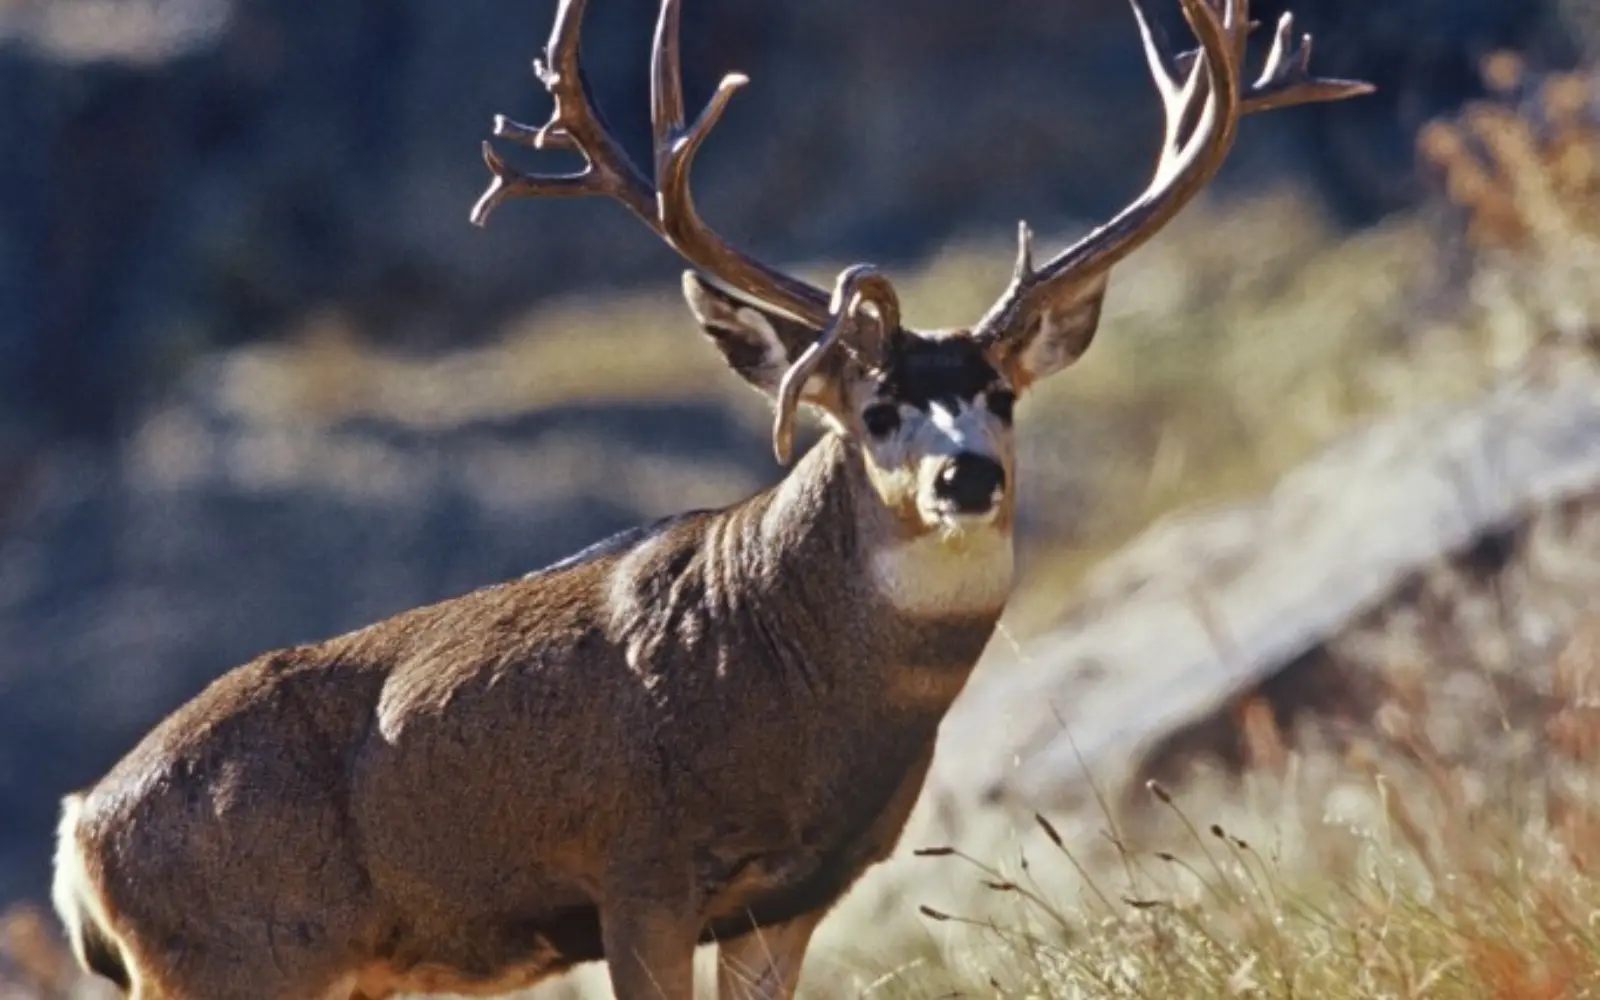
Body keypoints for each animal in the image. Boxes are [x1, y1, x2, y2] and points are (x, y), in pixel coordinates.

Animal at [53, 0, 1376, 992]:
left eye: (1001, 391)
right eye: (871, 408)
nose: (968, 474)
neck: (785, 683)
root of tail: (78, 830)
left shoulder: (793, 895)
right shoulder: (637, 868)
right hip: (234, 956)